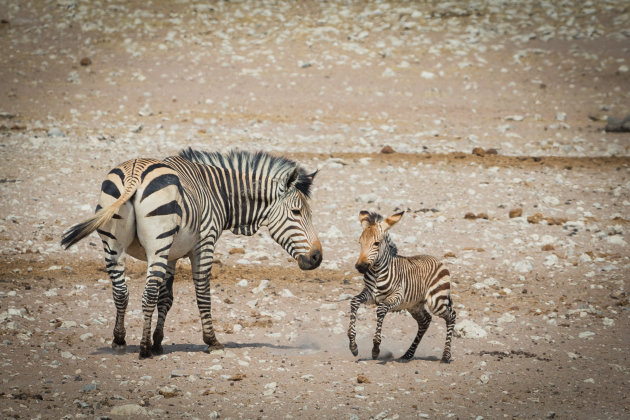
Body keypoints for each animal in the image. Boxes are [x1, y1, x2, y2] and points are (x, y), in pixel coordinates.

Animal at [61, 148, 324, 358]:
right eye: (296, 212)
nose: (317, 258)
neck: (218, 192)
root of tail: (135, 172)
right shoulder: (203, 245)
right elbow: (202, 294)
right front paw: (211, 341)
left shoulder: (171, 255)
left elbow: (166, 298)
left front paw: (158, 341)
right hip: (156, 245)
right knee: (147, 293)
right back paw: (143, 349)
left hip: (114, 246)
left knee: (121, 292)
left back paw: (119, 339)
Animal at [348, 212, 456, 362]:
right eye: (360, 243)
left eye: (376, 243)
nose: (361, 267)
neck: (376, 273)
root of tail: (438, 261)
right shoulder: (370, 294)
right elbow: (354, 301)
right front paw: (353, 345)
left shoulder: (397, 296)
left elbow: (381, 309)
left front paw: (376, 349)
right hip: (414, 304)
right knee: (425, 321)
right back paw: (408, 354)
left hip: (436, 301)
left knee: (451, 316)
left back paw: (446, 356)